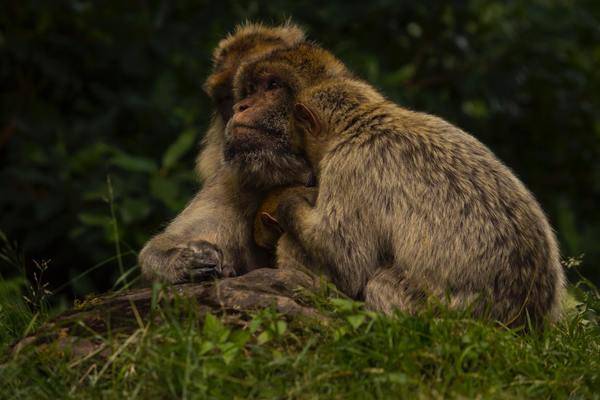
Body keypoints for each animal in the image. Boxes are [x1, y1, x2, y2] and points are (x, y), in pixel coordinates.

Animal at [138, 22, 312, 284]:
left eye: (268, 87)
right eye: (227, 98)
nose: (238, 111)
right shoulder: (232, 179)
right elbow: (158, 248)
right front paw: (185, 261)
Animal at [230, 42, 564, 326]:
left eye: (272, 87)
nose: (241, 106)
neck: (366, 123)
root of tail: (523, 321)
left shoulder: (348, 167)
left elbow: (345, 259)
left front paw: (290, 204)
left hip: (436, 310)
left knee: (379, 284)